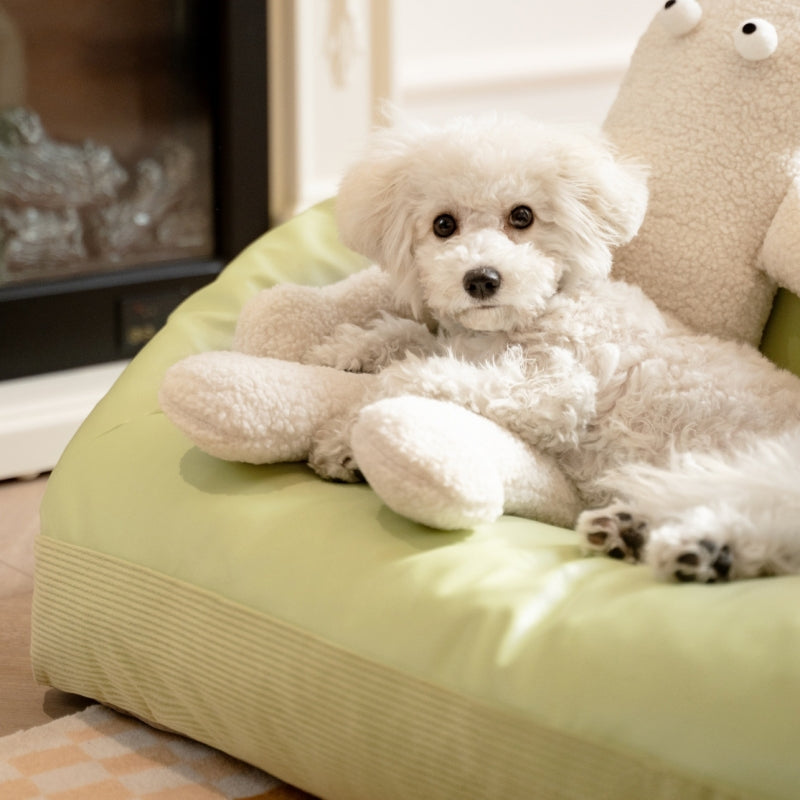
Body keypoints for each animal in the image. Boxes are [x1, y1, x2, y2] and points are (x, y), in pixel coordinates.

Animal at [306, 114, 800, 580]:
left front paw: (343, 433)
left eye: (522, 216)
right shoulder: (473, 345)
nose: (481, 279)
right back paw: (645, 535)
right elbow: (411, 338)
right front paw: (341, 352)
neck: (532, 313)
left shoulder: (551, 392)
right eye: (443, 225)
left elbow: (415, 374)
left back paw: (696, 548)